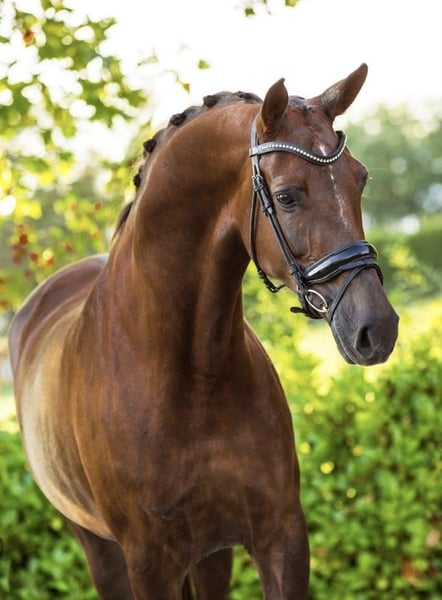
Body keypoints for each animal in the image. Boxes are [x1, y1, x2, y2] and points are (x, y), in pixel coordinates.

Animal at [9, 63, 398, 599]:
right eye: (286, 196)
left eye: (360, 180)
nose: (376, 328)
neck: (194, 375)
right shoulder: (150, 564)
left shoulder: (280, 535)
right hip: (97, 546)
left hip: (210, 552)